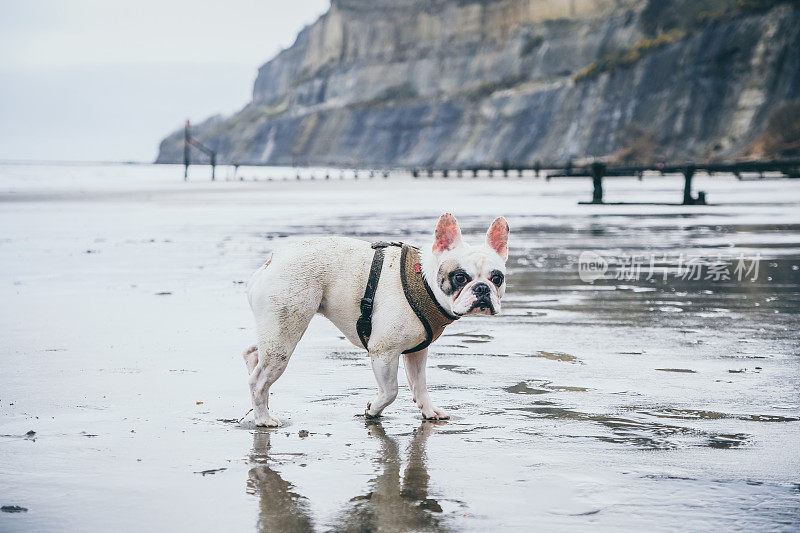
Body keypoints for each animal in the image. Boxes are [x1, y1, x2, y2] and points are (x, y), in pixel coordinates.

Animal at [241, 212, 510, 424]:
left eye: (497, 278)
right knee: (259, 380)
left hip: (276, 330)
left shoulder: (416, 351)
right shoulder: (384, 352)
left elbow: (420, 385)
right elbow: (391, 390)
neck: (425, 281)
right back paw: (263, 418)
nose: (482, 289)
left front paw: (429, 410)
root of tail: (273, 259)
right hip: (285, 334)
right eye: (460, 278)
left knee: (253, 353)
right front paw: (373, 410)